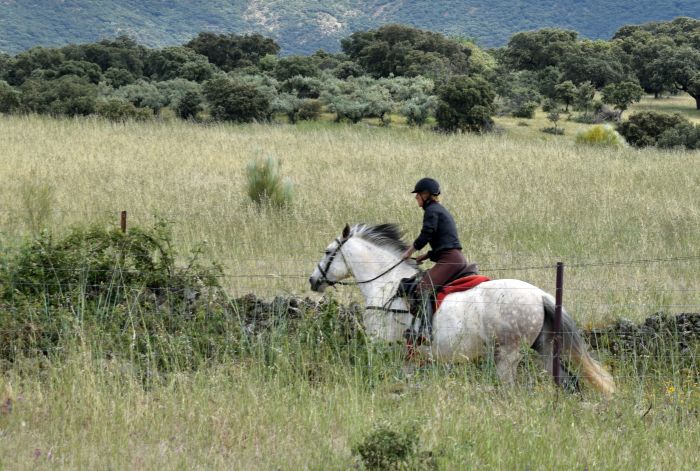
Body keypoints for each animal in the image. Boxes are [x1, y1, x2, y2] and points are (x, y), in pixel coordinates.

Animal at [308, 223, 616, 396]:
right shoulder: (408, 356)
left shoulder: (384, 346)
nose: (313, 280)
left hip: (508, 354)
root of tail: (540, 295)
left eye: (327, 252)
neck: (386, 285)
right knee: (568, 383)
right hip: (544, 349)